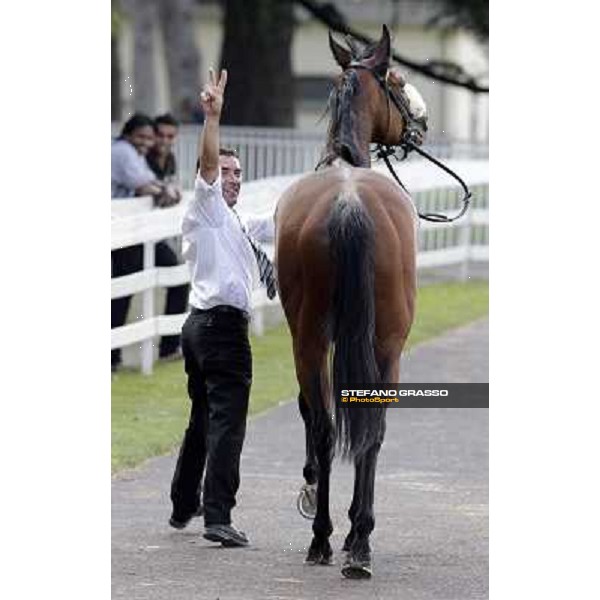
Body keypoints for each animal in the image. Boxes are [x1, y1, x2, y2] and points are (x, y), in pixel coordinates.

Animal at [274, 25, 424, 580]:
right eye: (396, 79)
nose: (419, 124)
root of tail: (348, 201)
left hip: (314, 339)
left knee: (328, 425)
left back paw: (333, 539)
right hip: (384, 343)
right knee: (365, 430)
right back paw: (353, 539)